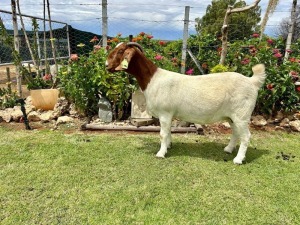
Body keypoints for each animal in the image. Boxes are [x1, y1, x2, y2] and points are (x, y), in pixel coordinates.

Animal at [105, 42, 264, 164]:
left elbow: (163, 133)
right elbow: (168, 132)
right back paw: (228, 149)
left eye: (120, 51)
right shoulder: (169, 115)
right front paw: (168, 146)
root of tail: (252, 81)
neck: (153, 79)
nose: (106, 65)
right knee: (236, 133)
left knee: (246, 136)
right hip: (232, 116)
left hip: (242, 115)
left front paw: (161, 153)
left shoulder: (164, 113)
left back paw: (238, 159)